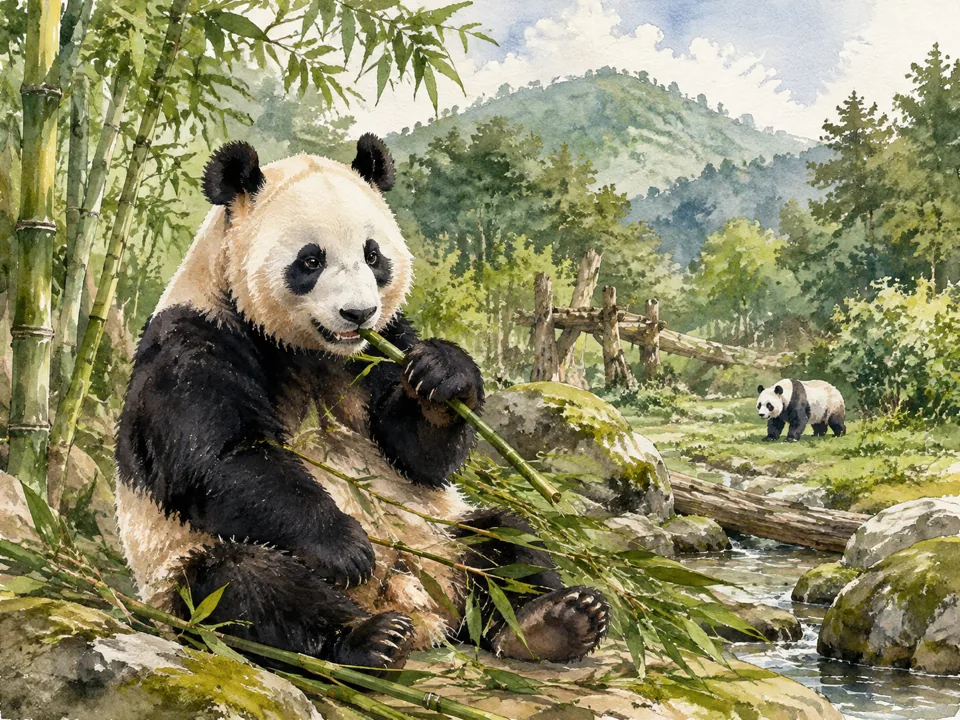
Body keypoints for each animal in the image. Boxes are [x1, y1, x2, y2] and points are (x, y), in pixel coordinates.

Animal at [115, 136, 608, 671]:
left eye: (373, 256)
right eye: (310, 260)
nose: (358, 313)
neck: (314, 349)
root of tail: (421, 611)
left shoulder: (383, 344)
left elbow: (417, 455)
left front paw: (441, 373)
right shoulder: (195, 338)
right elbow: (219, 457)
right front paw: (345, 547)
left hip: (442, 535)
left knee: (506, 540)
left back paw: (556, 621)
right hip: (180, 569)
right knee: (245, 584)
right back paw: (369, 638)